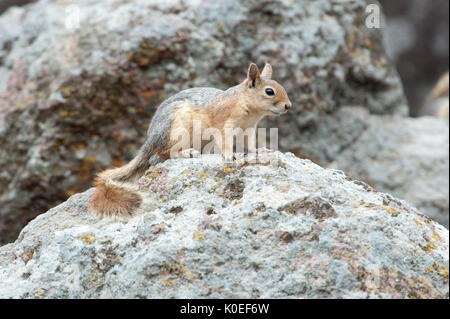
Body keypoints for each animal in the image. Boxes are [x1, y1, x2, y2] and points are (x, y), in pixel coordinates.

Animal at [89, 62, 292, 218]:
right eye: (270, 91)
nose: (288, 106)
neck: (246, 106)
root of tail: (150, 139)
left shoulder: (249, 128)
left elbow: (249, 144)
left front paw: (259, 151)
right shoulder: (222, 122)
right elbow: (224, 141)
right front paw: (230, 156)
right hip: (176, 131)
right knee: (162, 153)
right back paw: (186, 153)